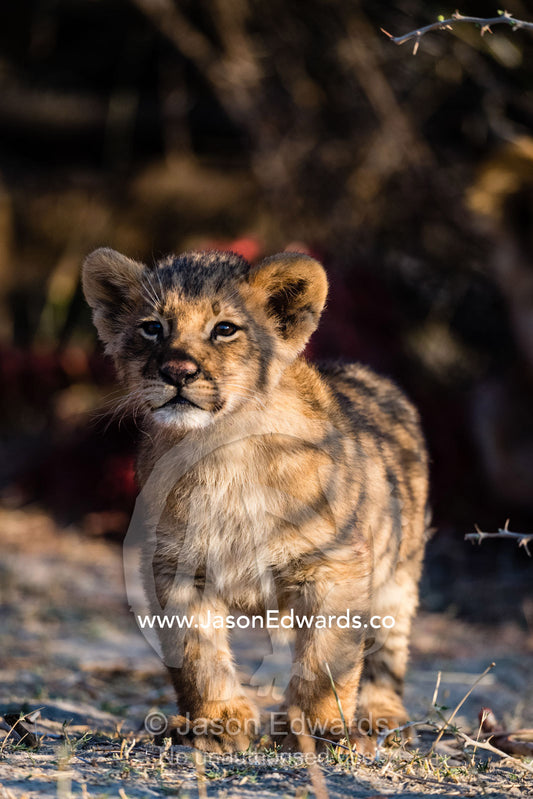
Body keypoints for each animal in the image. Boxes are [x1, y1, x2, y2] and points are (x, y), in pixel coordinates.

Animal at [82, 247, 429, 754]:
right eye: (152, 327)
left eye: (225, 328)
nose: (177, 372)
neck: (221, 449)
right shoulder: (177, 567)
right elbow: (197, 654)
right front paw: (217, 724)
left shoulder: (336, 564)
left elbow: (327, 658)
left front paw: (317, 730)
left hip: (399, 572)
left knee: (387, 649)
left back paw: (382, 719)